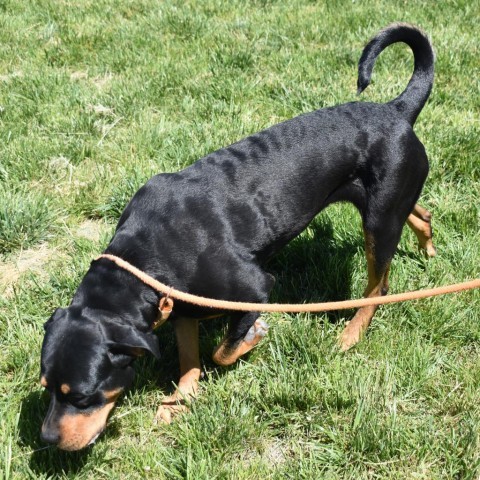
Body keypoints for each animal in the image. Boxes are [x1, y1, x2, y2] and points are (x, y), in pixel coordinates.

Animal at [39, 22, 436, 450]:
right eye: (46, 387)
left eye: (81, 395)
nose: (45, 439)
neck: (144, 256)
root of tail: (396, 110)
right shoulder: (182, 305)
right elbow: (190, 358)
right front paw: (179, 400)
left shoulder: (256, 288)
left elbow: (221, 353)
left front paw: (253, 336)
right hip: (388, 205)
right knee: (420, 213)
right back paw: (428, 247)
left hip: (378, 222)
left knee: (378, 286)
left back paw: (351, 334)